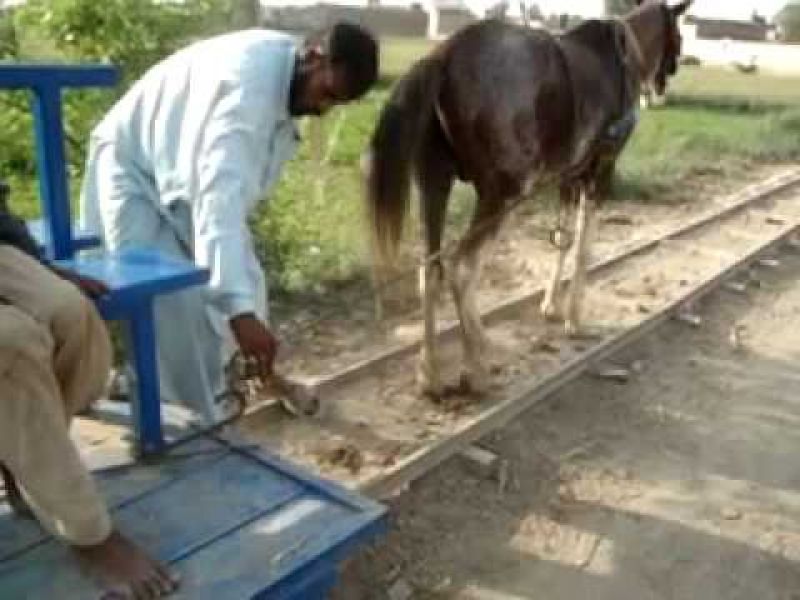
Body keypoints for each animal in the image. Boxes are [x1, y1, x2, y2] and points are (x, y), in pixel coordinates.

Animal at [365, 0, 692, 400]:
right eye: (677, 34)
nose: (664, 84)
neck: (624, 53)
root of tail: (446, 54)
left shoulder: (568, 176)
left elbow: (563, 242)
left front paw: (550, 306)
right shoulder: (601, 170)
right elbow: (583, 249)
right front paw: (574, 319)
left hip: (433, 183)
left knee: (431, 270)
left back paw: (430, 373)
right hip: (504, 191)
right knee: (463, 267)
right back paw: (477, 366)